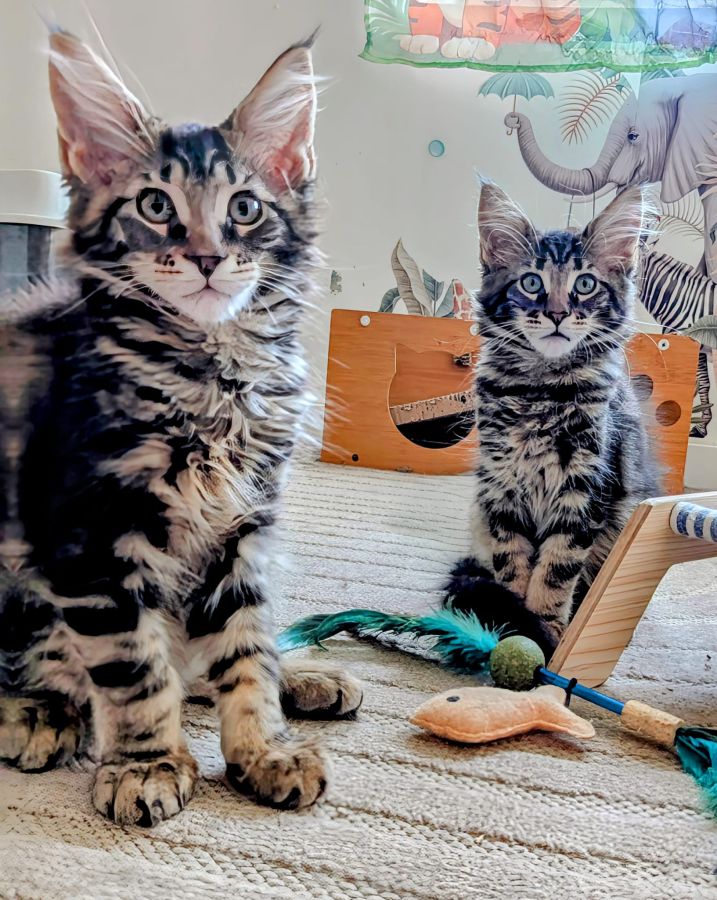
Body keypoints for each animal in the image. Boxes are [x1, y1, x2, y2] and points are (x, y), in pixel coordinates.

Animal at [0, 30, 362, 827]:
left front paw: (264, 750)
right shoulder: (91, 539)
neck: (214, 377)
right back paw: (39, 711)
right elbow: (136, 668)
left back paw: (309, 678)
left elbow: (246, 649)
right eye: (155, 204)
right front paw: (147, 763)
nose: (205, 256)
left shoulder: (243, 527)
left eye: (246, 208)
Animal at [444, 182, 660, 652]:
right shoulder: (502, 487)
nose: (558, 314)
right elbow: (512, 561)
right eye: (531, 283)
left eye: (585, 284)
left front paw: (545, 624)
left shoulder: (586, 488)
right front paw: (512, 617)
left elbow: (558, 568)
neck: (541, 391)